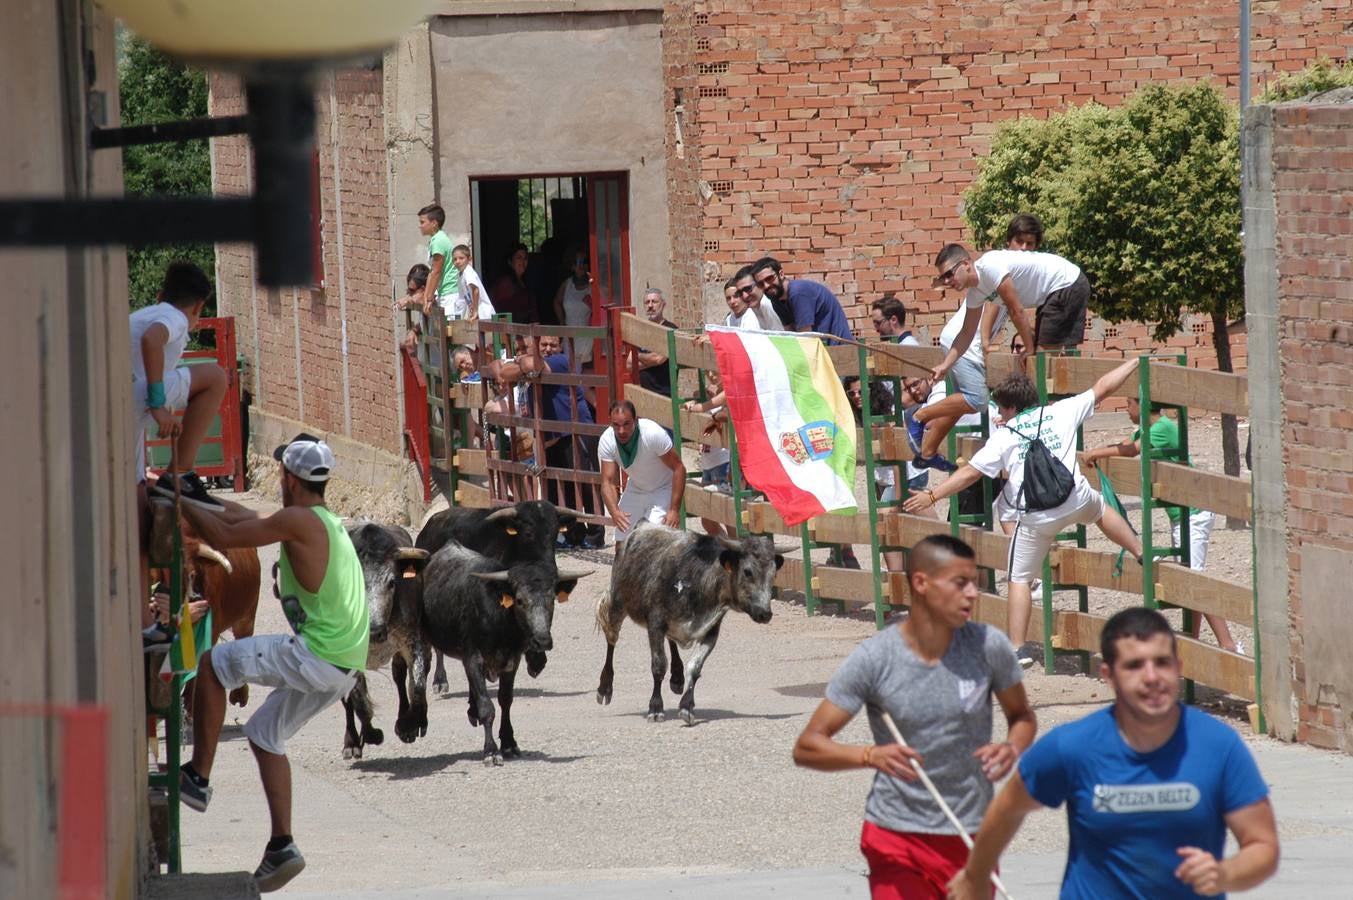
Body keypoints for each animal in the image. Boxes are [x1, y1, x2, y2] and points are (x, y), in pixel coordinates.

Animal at [598, 522, 790, 725]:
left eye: (773, 573)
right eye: (748, 572)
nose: (765, 613)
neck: (696, 580)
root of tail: (640, 528)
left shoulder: (711, 630)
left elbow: (695, 667)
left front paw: (686, 707)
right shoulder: (655, 624)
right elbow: (658, 666)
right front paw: (655, 707)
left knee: (671, 641)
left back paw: (677, 677)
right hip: (617, 604)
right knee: (611, 640)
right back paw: (605, 688)